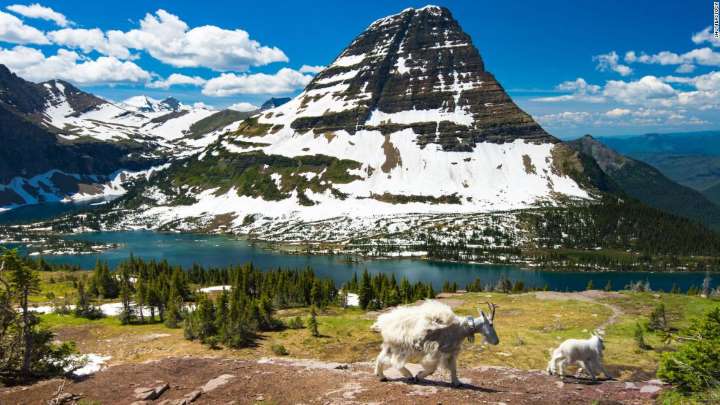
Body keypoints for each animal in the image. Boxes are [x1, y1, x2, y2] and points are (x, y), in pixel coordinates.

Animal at [368, 300, 498, 386]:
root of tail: (383, 322)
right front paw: (418, 375)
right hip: (400, 345)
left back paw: (381, 376)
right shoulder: (436, 350)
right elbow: (432, 369)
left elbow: (453, 368)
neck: (461, 329)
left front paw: (457, 382)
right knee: (394, 361)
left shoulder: (450, 352)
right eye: (491, 324)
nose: (496, 341)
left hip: (390, 345)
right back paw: (408, 375)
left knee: (381, 358)